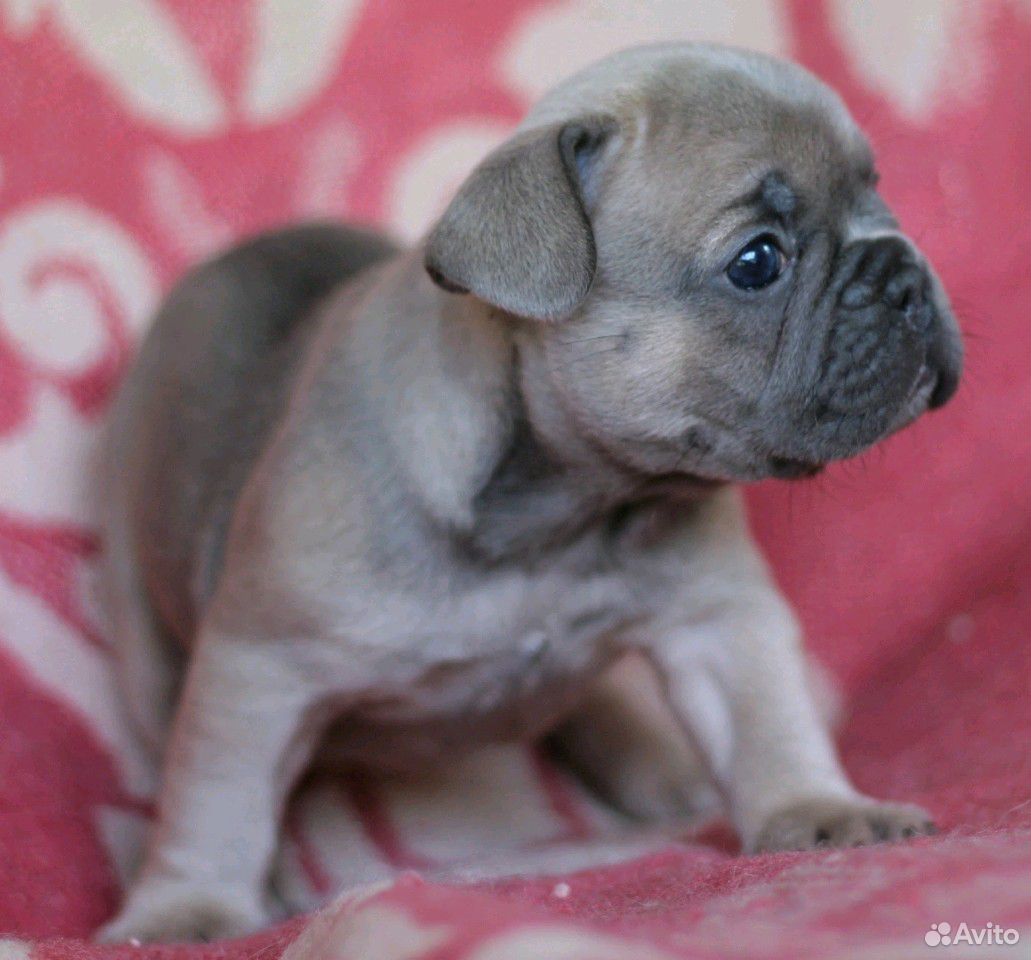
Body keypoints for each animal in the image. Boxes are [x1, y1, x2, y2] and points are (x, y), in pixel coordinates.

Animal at [100, 41, 960, 940]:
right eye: (756, 262)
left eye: (877, 194)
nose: (905, 273)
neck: (566, 513)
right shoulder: (258, 665)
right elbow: (218, 800)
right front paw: (188, 909)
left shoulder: (720, 616)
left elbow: (766, 717)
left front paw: (820, 808)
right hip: (140, 608)